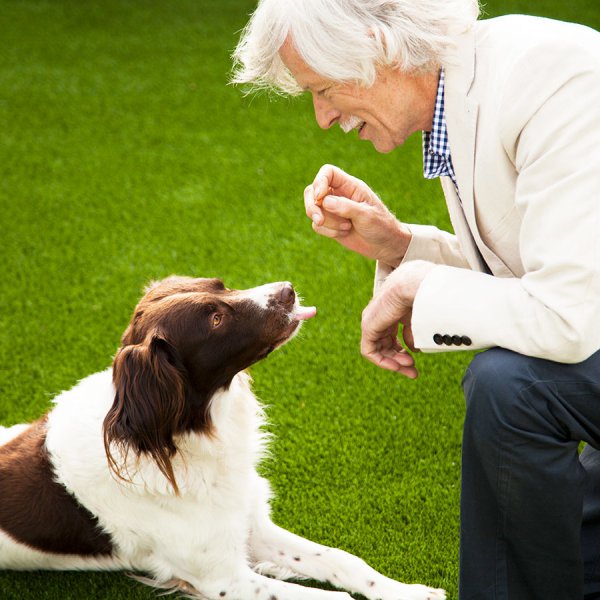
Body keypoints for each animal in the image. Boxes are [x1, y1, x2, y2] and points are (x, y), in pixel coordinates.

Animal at [0, 276, 446, 600]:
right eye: (215, 319)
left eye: (220, 284)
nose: (287, 290)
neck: (184, 438)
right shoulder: (220, 578)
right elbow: (328, 598)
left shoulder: (248, 524)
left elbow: (343, 559)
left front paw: (409, 591)